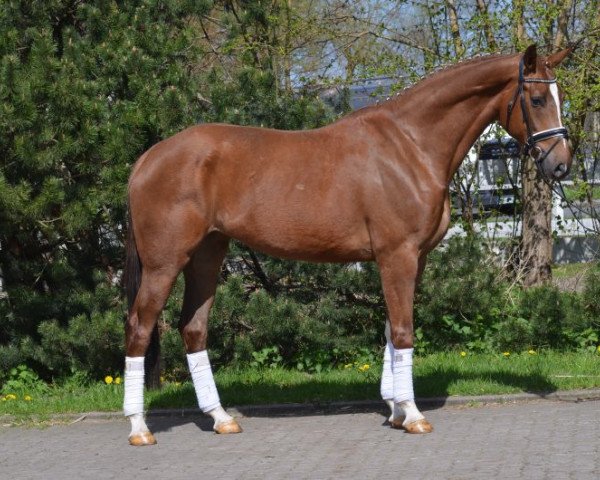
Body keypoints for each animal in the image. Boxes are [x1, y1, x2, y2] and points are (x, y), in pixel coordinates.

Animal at [123, 46, 572, 446]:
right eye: (536, 98)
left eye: (559, 97)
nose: (561, 164)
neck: (410, 145)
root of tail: (148, 158)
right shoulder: (398, 255)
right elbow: (404, 331)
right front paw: (413, 415)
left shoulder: (415, 259)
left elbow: (391, 328)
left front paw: (395, 410)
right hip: (165, 264)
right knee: (140, 327)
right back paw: (140, 428)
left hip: (207, 255)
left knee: (193, 329)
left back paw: (220, 418)